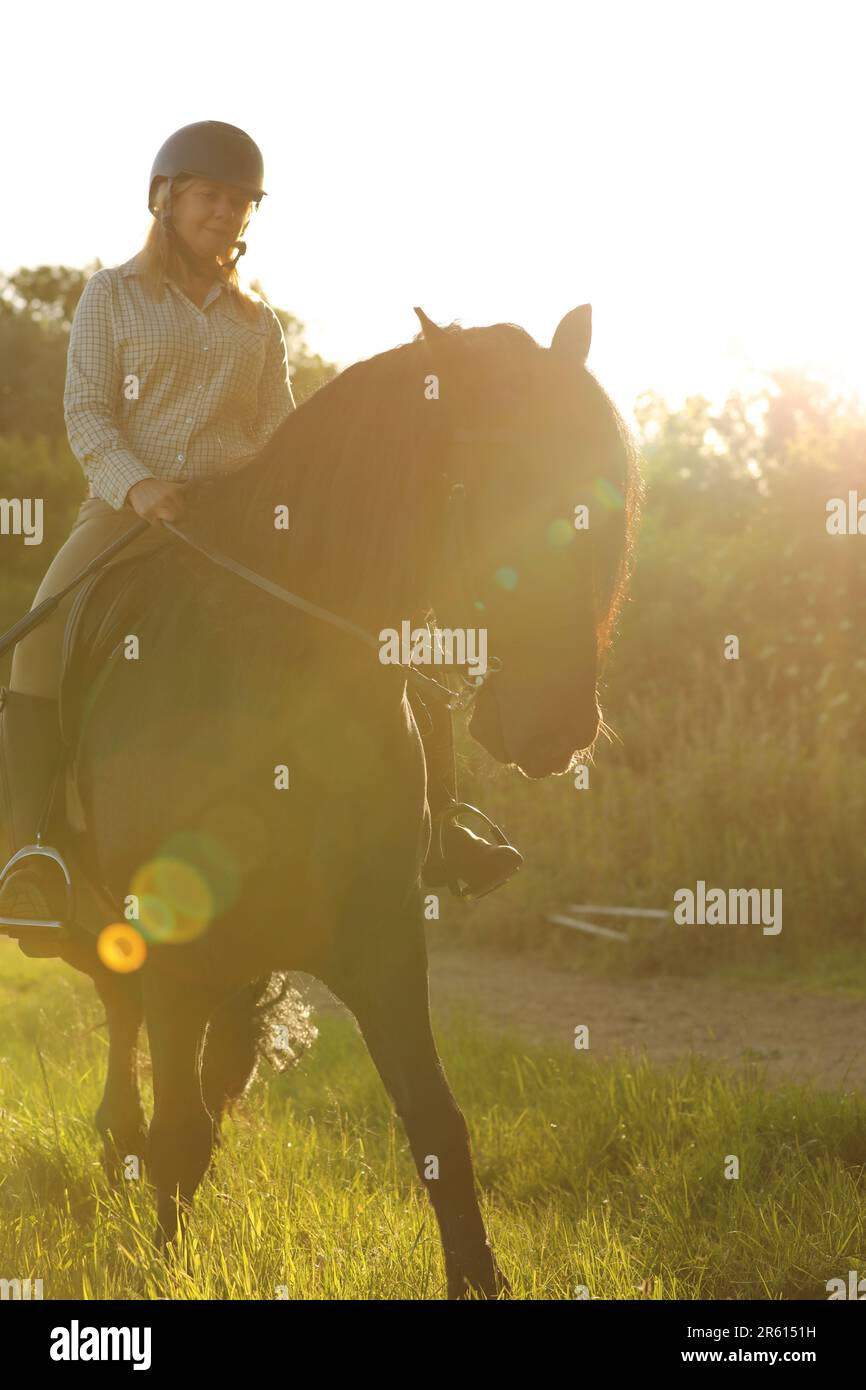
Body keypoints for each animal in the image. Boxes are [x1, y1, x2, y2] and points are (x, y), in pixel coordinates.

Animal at [44, 301, 639, 1289]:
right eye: (491, 486)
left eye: (605, 495)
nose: (554, 727)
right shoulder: (174, 953)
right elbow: (181, 1134)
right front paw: (167, 1265)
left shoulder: (381, 943)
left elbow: (437, 1126)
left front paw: (481, 1278)